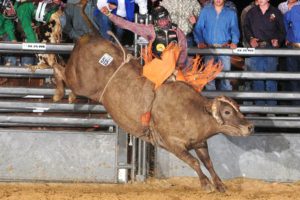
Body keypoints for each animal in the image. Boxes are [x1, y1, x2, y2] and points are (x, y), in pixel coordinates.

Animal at [48, 0, 253, 193]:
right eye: (227, 112)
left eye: (237, 108)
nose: (250, 126)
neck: (193, 111)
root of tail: (92, 37)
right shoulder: (172, 143)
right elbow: (194, 162)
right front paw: (206, 185)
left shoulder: (200, 142)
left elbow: (208, 162)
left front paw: (220, 185)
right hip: (81, 82)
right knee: (60, 70)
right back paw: (59, 93)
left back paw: (70, 97)